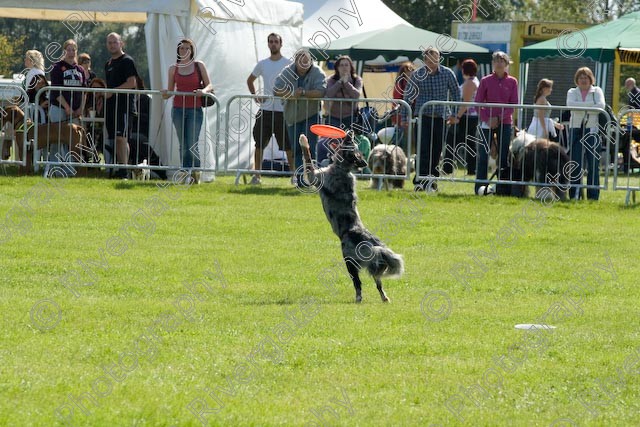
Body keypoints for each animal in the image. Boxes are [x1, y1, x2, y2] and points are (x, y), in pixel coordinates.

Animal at [300, 132, 404, 302]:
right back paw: (384, 298)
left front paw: (303, 139)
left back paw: (358, 299)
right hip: (373, 266)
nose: (350, 133)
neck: (342, 169)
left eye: (351, 143)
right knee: (378, 283)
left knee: (358, 283)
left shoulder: (314, 176)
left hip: (349, 261)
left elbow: (307, 156)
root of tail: (375, 245)